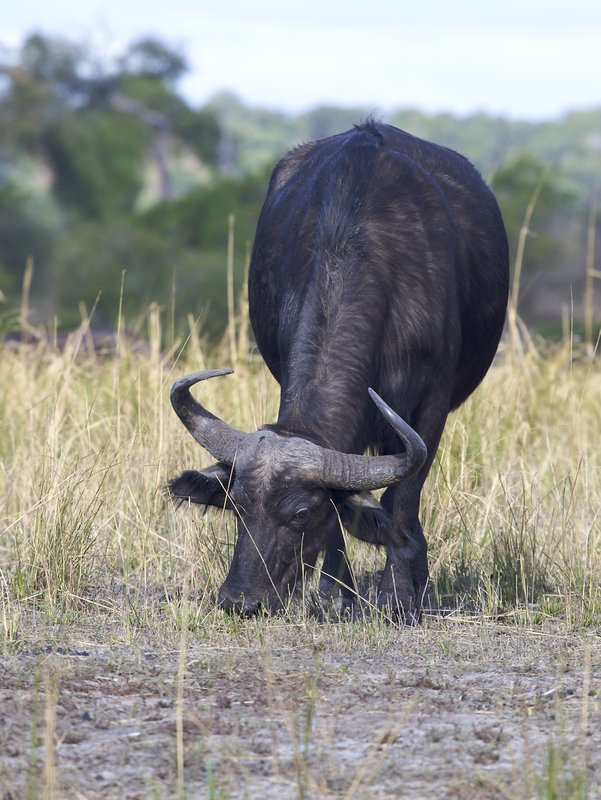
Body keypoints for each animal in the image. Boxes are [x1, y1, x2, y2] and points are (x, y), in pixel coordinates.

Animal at [169, 121, 509, 622]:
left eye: (300, 514)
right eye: (237, 506)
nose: (240, 600)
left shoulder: (432, 406)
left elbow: (402, 499)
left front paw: (399, 596)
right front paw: (337, 594)